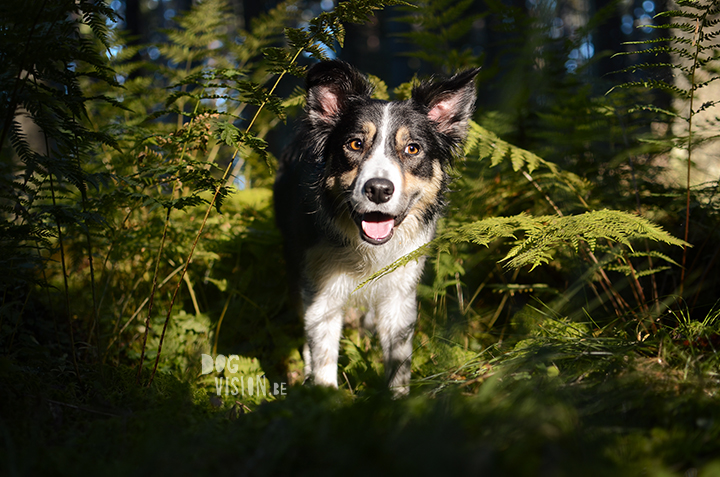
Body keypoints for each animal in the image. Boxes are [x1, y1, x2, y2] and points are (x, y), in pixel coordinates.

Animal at [276, 60, 478, 394]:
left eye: (412, 149)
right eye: (355, 144)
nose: (379, 190)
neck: (368, 249)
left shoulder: (400, 293)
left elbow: (399, 361)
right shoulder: (321, 287)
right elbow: (323, 353)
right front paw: (322, 395)